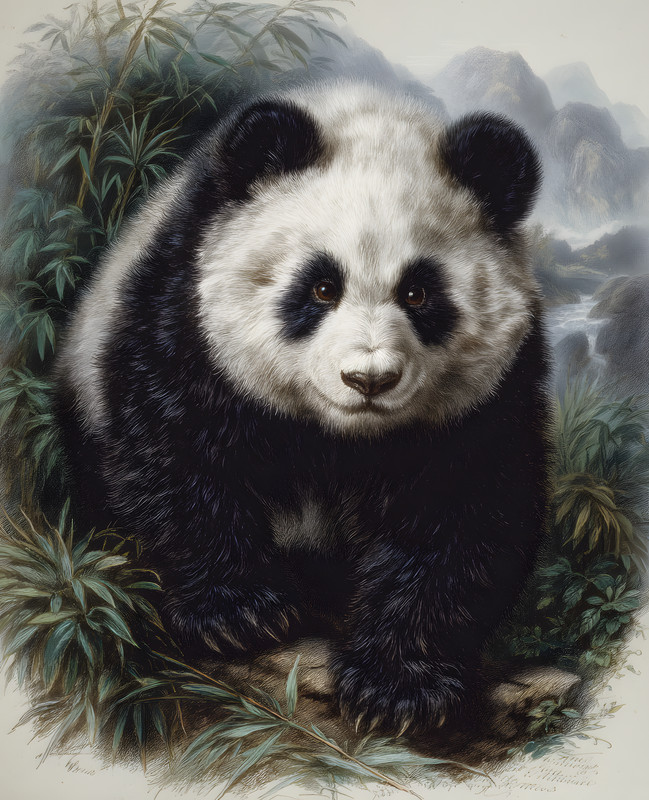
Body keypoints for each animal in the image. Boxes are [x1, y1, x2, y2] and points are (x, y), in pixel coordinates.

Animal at [56, 82, 550, 736]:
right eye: (320, 287)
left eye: (419, 293)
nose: (369, 379)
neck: (338, 435)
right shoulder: (181, 319)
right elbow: (176, 454)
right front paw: (238, 614)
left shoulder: (487, 401)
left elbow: (461, 515)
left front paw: (397, 688)